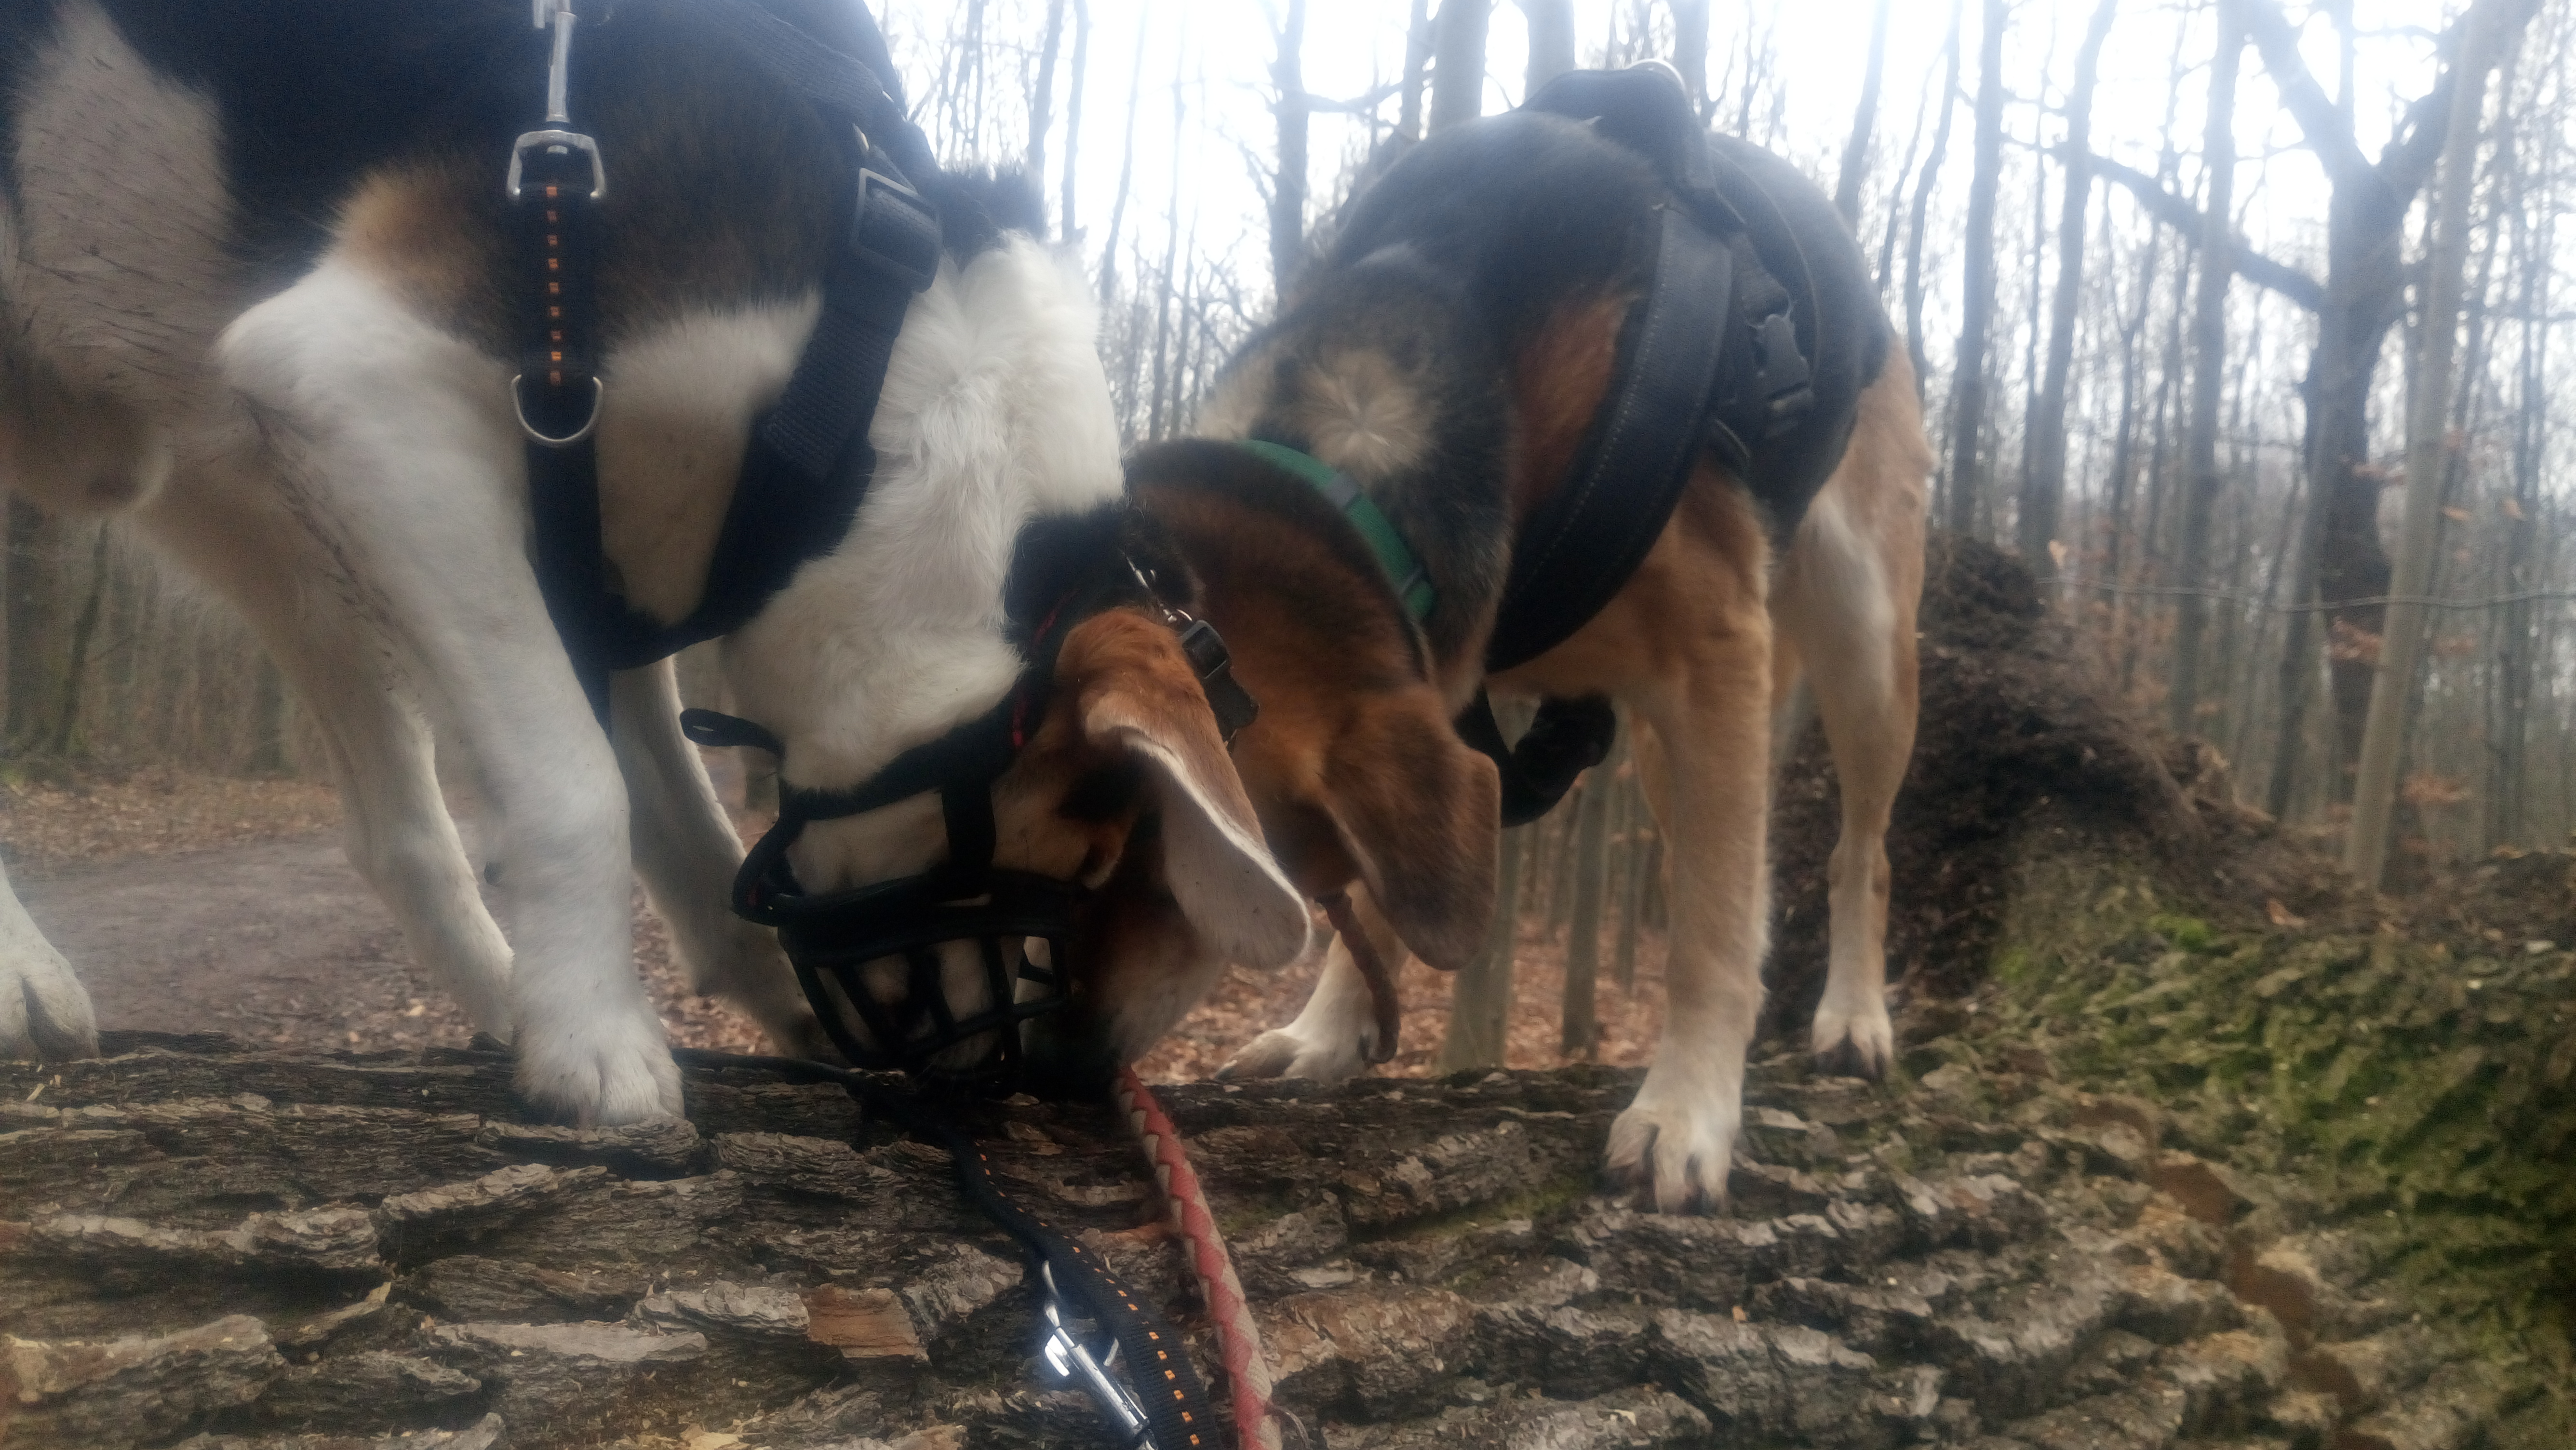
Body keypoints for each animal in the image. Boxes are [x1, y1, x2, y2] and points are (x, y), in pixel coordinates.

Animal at [5, 0, 1308, 1123]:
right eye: (1088, 860)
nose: (1063, 1072)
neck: (870, 375)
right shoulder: (363, 381)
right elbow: (579, 790)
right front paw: (597, 1040)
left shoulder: (609, 572)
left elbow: (683, 827)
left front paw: (719, 996)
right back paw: (29, 979)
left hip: (278, 523)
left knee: (397, 828)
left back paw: (499, 996)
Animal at [1128, 96, 1937, 1221]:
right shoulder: (1444, 696)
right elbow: (1388, 884)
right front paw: (1328, 1032)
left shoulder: (1712, 649)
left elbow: (1709, 934)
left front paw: (1686, 1109)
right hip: (1667, 750)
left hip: (1861, 644)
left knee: (1856, 852)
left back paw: (1852, 1018)